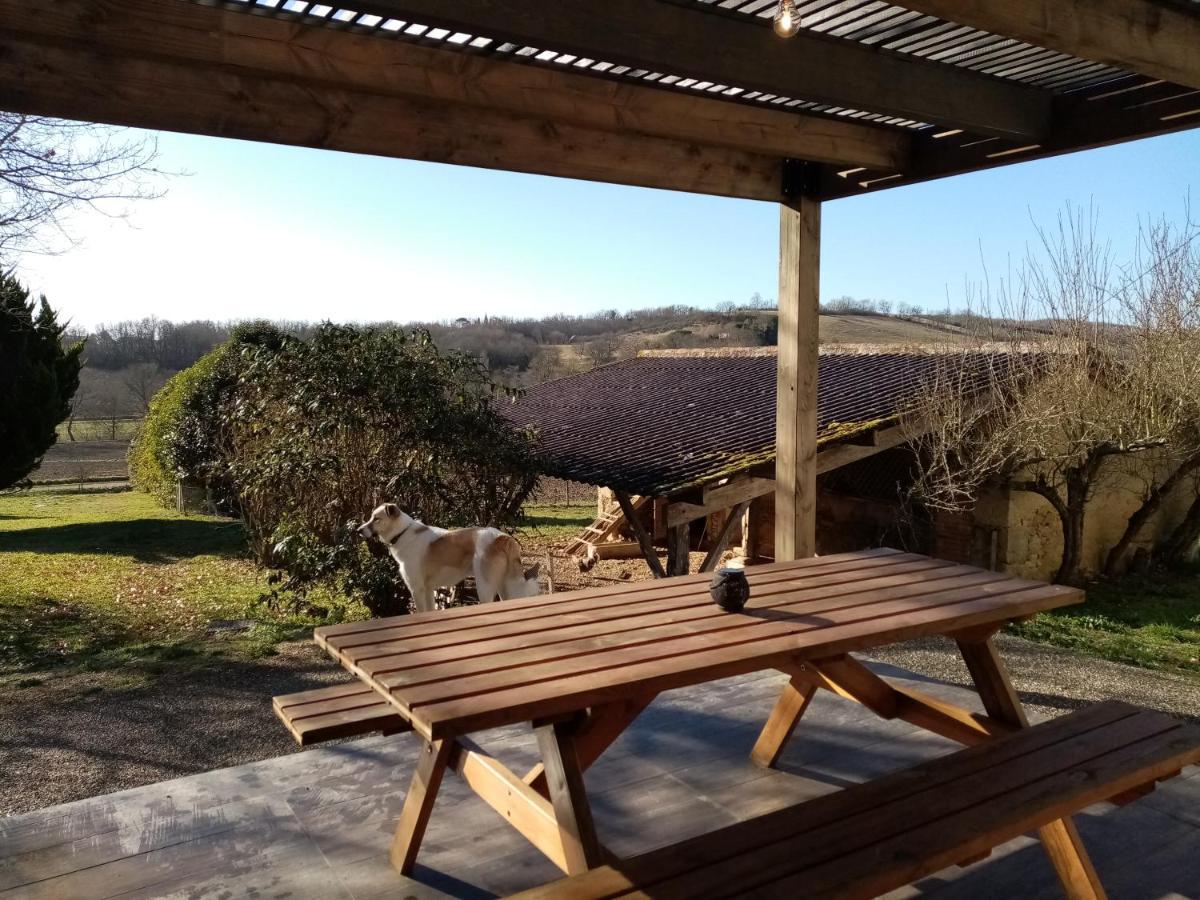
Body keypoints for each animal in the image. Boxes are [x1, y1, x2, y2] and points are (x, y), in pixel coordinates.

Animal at [355, 504, 540, 619]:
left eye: (376, 519)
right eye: (371, 517)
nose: (358, 530)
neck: (402, 533)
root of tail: (503, 537)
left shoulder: (416, 589)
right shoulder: (428, 590)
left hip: (485, 587)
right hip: (504, 587)